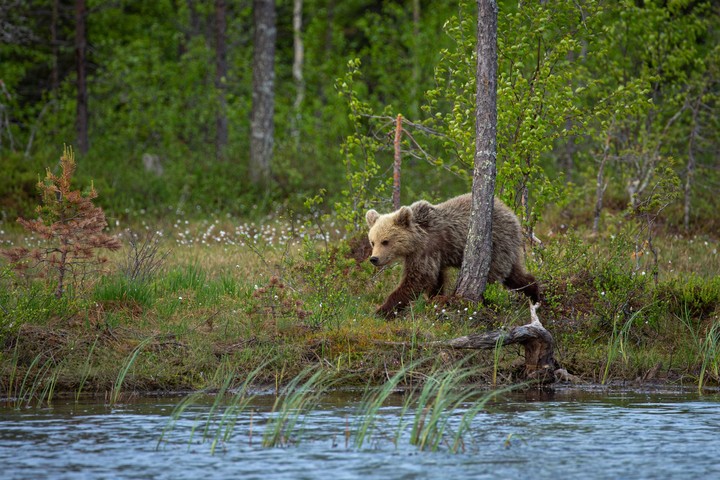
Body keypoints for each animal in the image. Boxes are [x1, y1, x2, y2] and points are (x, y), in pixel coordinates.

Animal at [365, 193, 539, 318]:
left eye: (385, 241)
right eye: (373, 242)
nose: (374, 259)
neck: (415, 241)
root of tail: (512, 215)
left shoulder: (427, 249)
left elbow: (418, 279)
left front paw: (382, 310)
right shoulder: (432, 255)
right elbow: (435, 279)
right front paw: (434, 297)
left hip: (497, 245)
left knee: (492, 278)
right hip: (507, 250)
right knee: (515, 275)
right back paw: (535, 293)